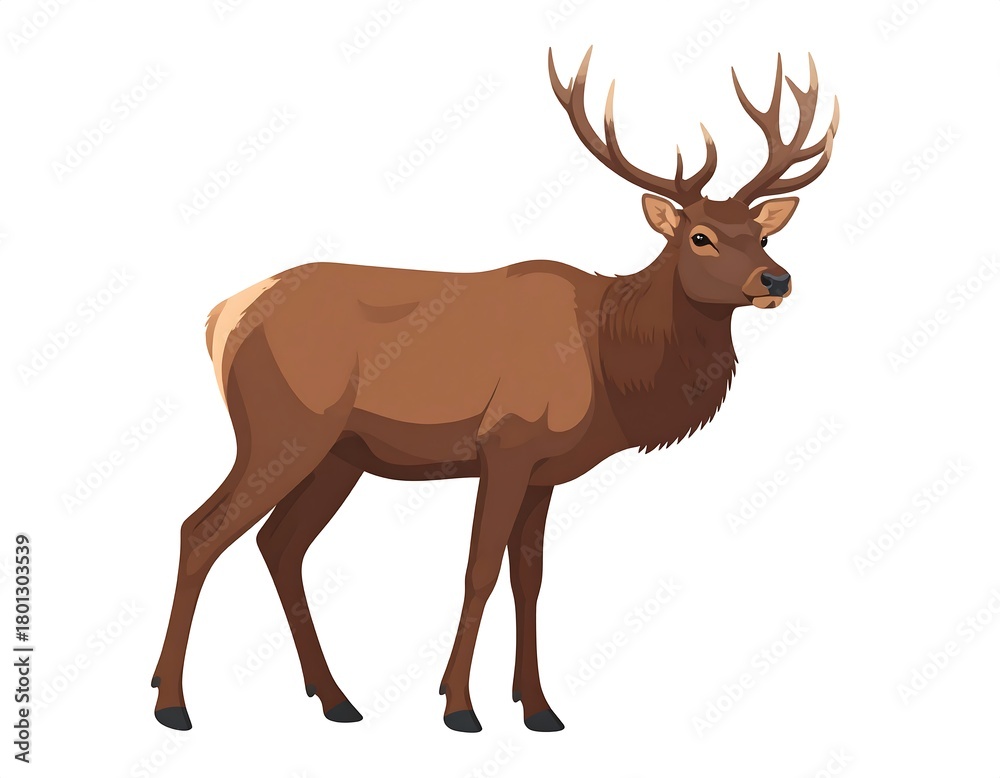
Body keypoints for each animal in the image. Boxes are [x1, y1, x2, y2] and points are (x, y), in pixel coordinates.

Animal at [151, 46, 838, 734]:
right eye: (700, 236)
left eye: (763, 235)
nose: (776, 279)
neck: (610, 368)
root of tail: (221, 318)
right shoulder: (507, 444)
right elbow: (478, 571)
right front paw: (458, 705)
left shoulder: (545, 470)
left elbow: (528, 579)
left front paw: (538, 706)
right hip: (282, 429)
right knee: (201, 529)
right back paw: (171, 701)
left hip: (337, 455)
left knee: (278, 545)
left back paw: (336, 697)